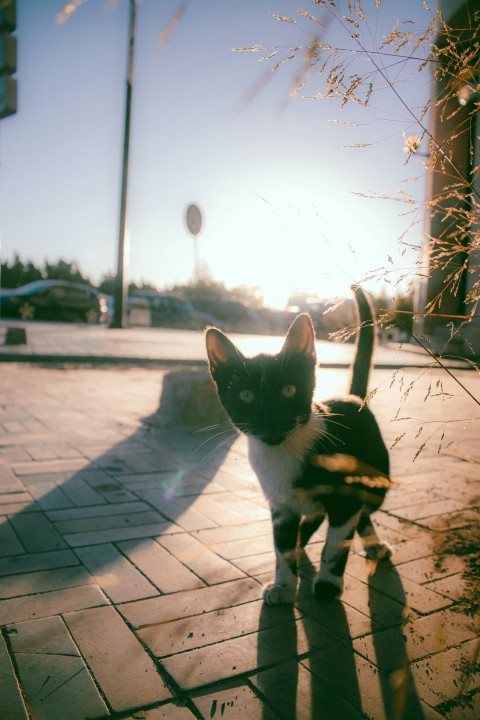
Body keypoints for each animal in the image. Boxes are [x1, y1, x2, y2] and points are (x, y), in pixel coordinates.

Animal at [204, 284, 392, 604]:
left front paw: (328, 583)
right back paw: (304, 539)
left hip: (376, 478)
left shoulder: (345, 499)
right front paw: (282, 584)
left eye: (289, 390)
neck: (282, 452)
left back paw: (371, 544)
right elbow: (282, 546)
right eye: (246, 395)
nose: (270, 418)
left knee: (363, 510)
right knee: (316, 517)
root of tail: (354, 398)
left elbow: (337, 542)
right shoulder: (280, 506)